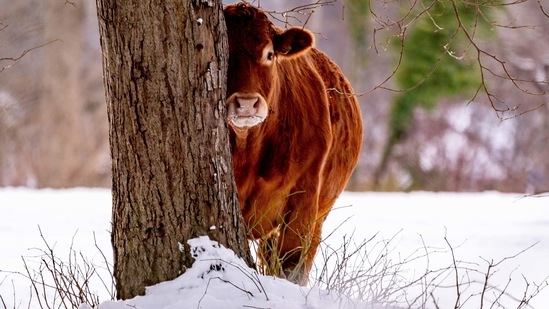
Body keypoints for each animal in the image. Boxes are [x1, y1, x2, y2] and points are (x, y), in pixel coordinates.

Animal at [225, 1, 362, 284]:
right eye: (225, 51)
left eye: (269, 54)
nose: (246, 103)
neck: (249, 149)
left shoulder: (304, 196)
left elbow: (291, 264)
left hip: (319, 215)